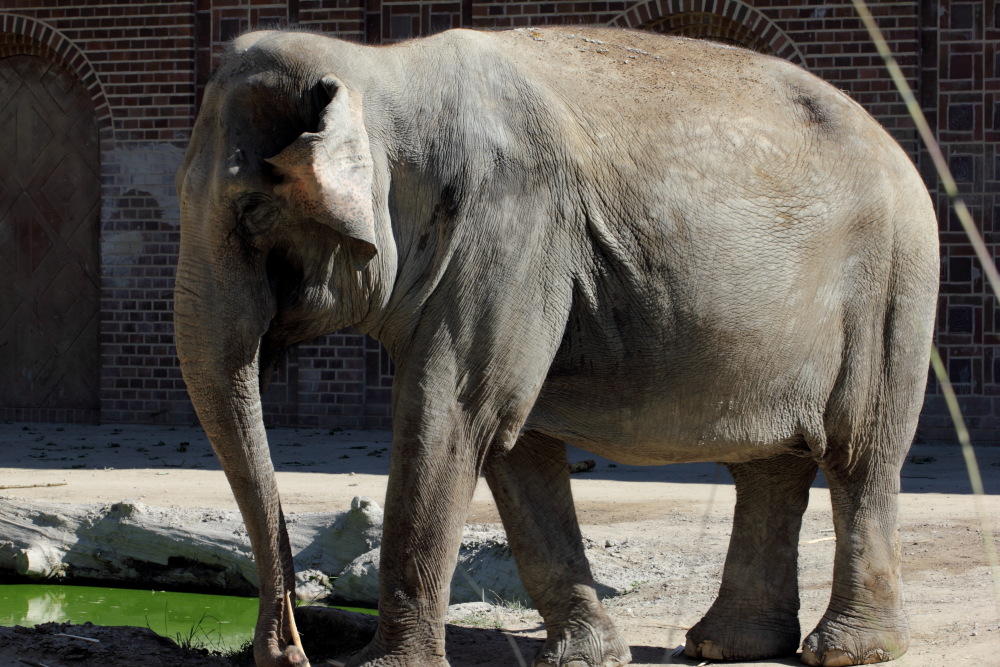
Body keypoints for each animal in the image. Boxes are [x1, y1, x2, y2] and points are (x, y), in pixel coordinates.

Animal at [174, 26, 936, 667]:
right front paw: (586, 658)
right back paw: (727, 645)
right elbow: (512, 441)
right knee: (771, 466)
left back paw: (846, 651)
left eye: (252, 211)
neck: (379, 69)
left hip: (892, 289)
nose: (288, 652)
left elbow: (452, 409)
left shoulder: (509, 227)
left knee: (861, 456)